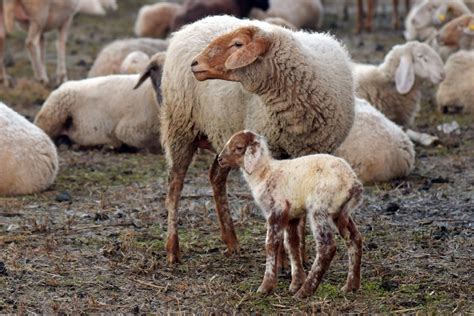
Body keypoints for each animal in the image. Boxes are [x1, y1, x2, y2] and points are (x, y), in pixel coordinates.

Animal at [218, 130, 362, 298]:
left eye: (239, 147)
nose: (220, 159)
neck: (264, 173)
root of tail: (353, 183)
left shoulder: (277, 210)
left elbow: (271, 244)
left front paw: (266, 286)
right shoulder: (292, 214)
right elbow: (292, 244)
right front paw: (296, 282)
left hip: (319, 208)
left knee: (327, 247)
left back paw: (305, 291)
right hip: (339, 212)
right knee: (355, 238)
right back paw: (351, 286)